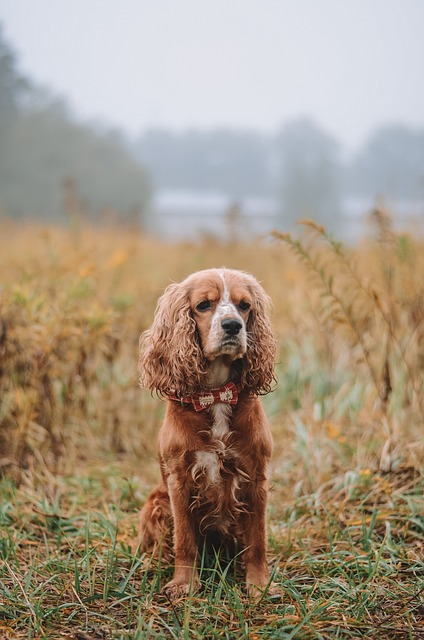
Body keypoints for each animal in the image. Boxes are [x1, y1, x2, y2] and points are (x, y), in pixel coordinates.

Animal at [138, 268, 278, 596]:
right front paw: (183, 584)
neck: (215, 394)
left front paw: (258, 585)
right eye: (203, 305)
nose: (232, 325)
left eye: (244, 306)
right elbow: (184, 541)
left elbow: (258, 540)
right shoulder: (179, 480)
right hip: (155, 503)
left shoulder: (256, 477)